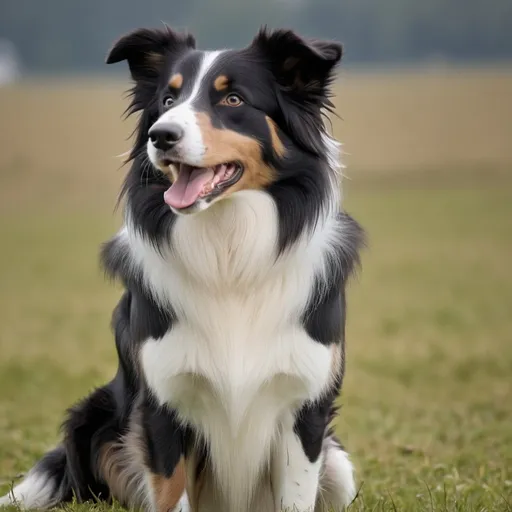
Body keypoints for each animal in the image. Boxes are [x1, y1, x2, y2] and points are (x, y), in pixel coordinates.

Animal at [0, 24, 364, 512]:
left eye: (233, 99)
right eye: (168, 100)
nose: (161, 135)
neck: (228, 253)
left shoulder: (303, 405)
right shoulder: (163, 403)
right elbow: (172, 493)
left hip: (339, 469)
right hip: (96, 422)